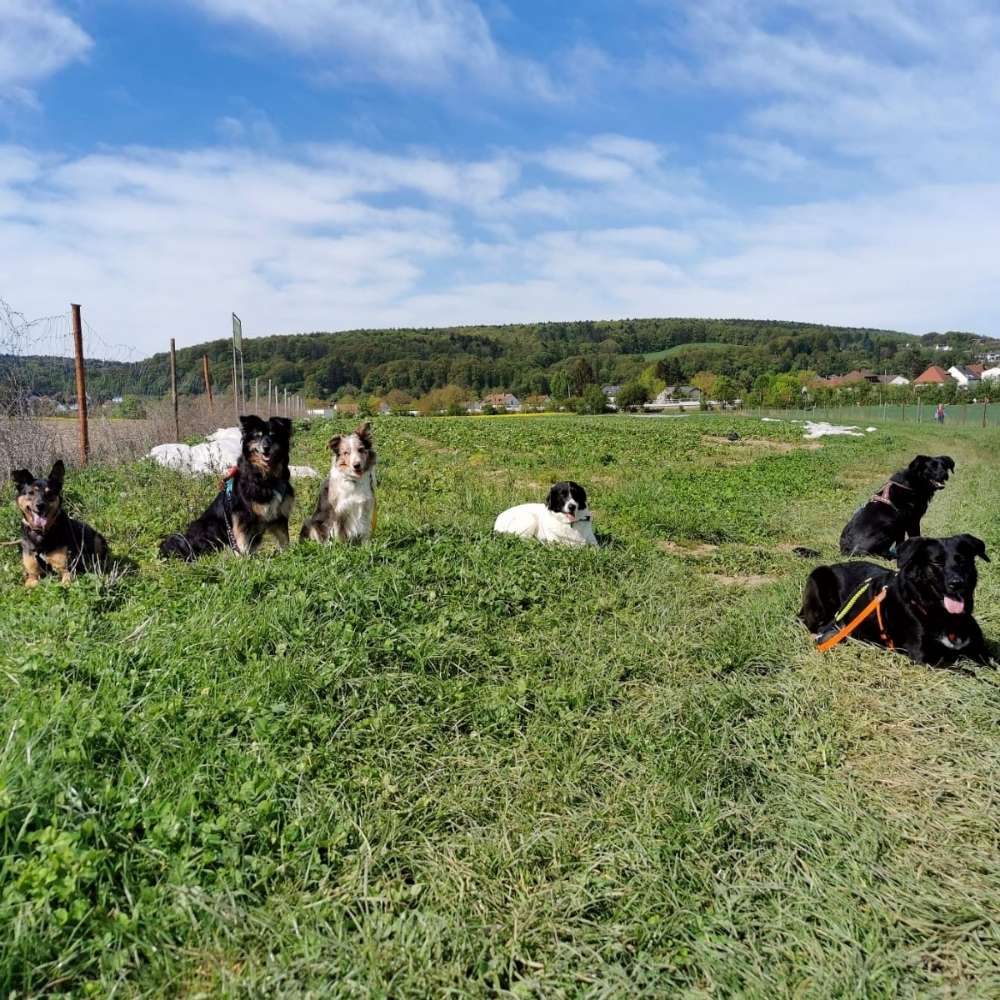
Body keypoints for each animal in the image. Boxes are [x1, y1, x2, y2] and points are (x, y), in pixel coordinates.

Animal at [159, 410, 292, 560]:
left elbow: (284, 538)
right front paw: (243, 559)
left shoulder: (279, 513)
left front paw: (289, 554)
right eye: (257, 436)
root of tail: (188, 544)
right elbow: (242, 541)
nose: (266, 448)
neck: (266, 474)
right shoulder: (242, 514)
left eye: (273, 435)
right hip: (210, 524)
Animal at [800, 536, 988, 668]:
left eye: (963, 561)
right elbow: (969, 672)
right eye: (936, 562)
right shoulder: (925, 657)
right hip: (820, 575)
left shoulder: (979, 651)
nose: (956, 583)